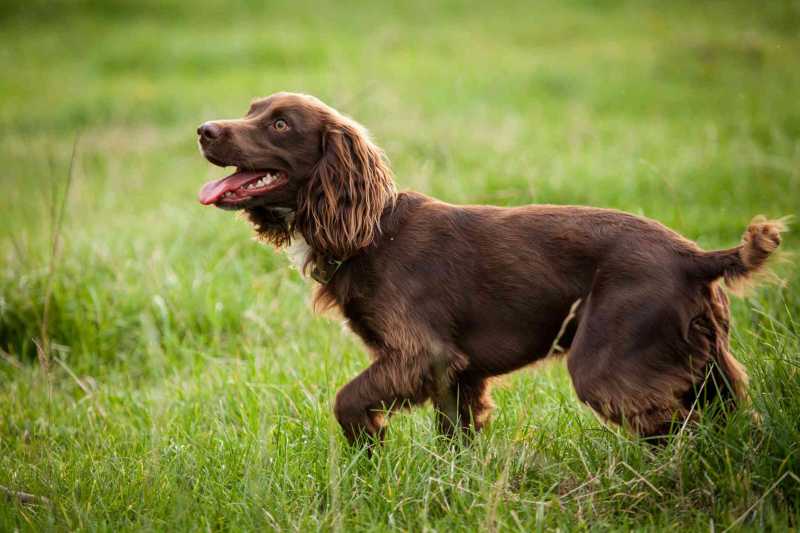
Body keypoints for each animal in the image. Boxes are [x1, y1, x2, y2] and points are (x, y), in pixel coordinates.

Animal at [197, 93, 784, 442]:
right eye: (251, 109)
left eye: (279, 123)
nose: (203, 130)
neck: (372, 232)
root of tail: (694, 257)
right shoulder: (457, 375)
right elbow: (454, 440)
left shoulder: (421, 354)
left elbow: (347, 399)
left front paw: (370, 446)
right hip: (708, 366)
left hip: (608, 364)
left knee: (680, 429)